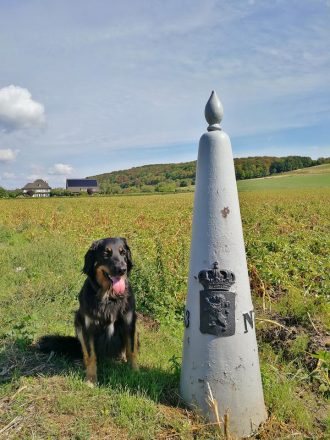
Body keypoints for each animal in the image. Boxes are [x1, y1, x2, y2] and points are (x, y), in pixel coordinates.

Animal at [38, 237, 138, 384]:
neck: (109, 298)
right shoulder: (87, 327)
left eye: (123, 252)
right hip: (77, 321)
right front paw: (91, 380)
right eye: (106, 253)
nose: (122, 269)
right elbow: (91, 355)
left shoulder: (129, 323)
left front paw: (134, 372)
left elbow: (131, 350)